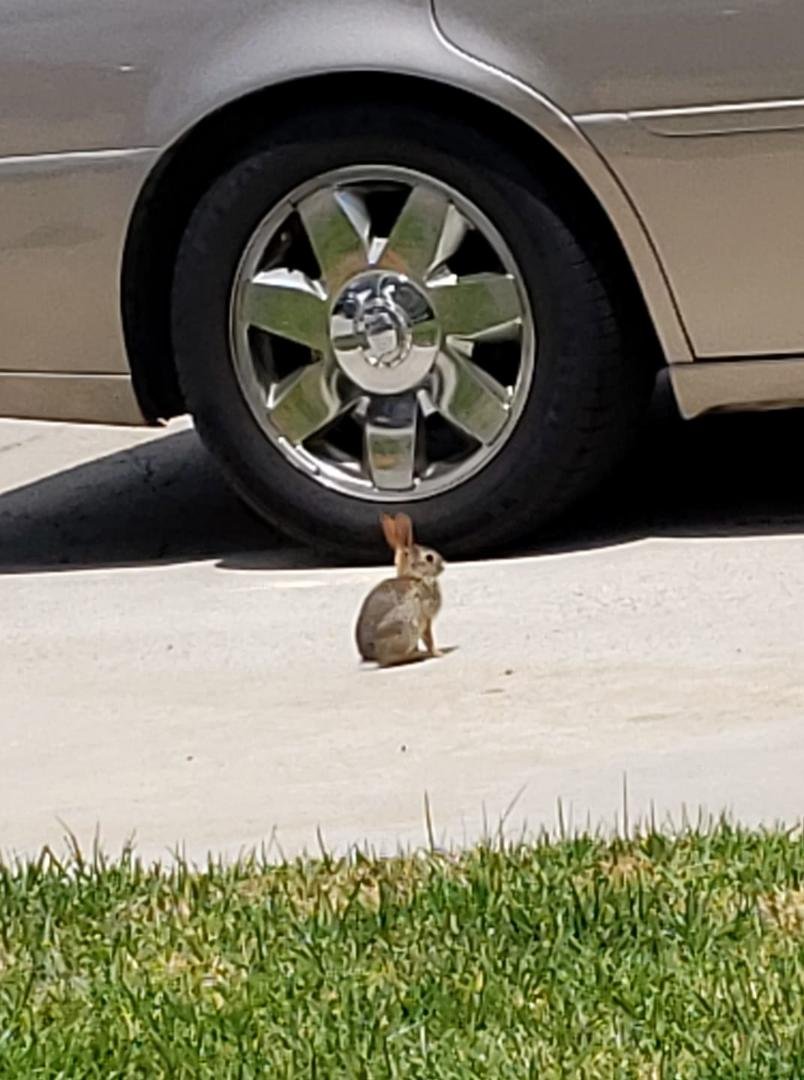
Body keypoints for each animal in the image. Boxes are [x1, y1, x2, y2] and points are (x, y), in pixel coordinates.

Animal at [355, 513, 444, 667]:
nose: (442, 566)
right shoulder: (425, 618)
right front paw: (438, 653)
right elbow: (429, 639)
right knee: (387, 660)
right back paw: (417, 656)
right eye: (429, 557)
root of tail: (372, 655)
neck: (415, 577)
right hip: (405, 624)